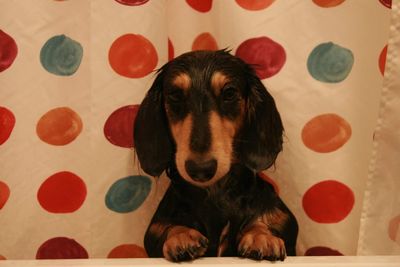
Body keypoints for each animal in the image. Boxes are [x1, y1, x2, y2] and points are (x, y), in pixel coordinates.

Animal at [134, 49, 296, 262]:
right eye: (175, 95)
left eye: (229, 93)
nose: (201, 169)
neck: (216, 193)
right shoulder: (155, 229)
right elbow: (168, 227)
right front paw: (181, 236)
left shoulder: (282, 218)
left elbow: (262, 220)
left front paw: (261, 237)